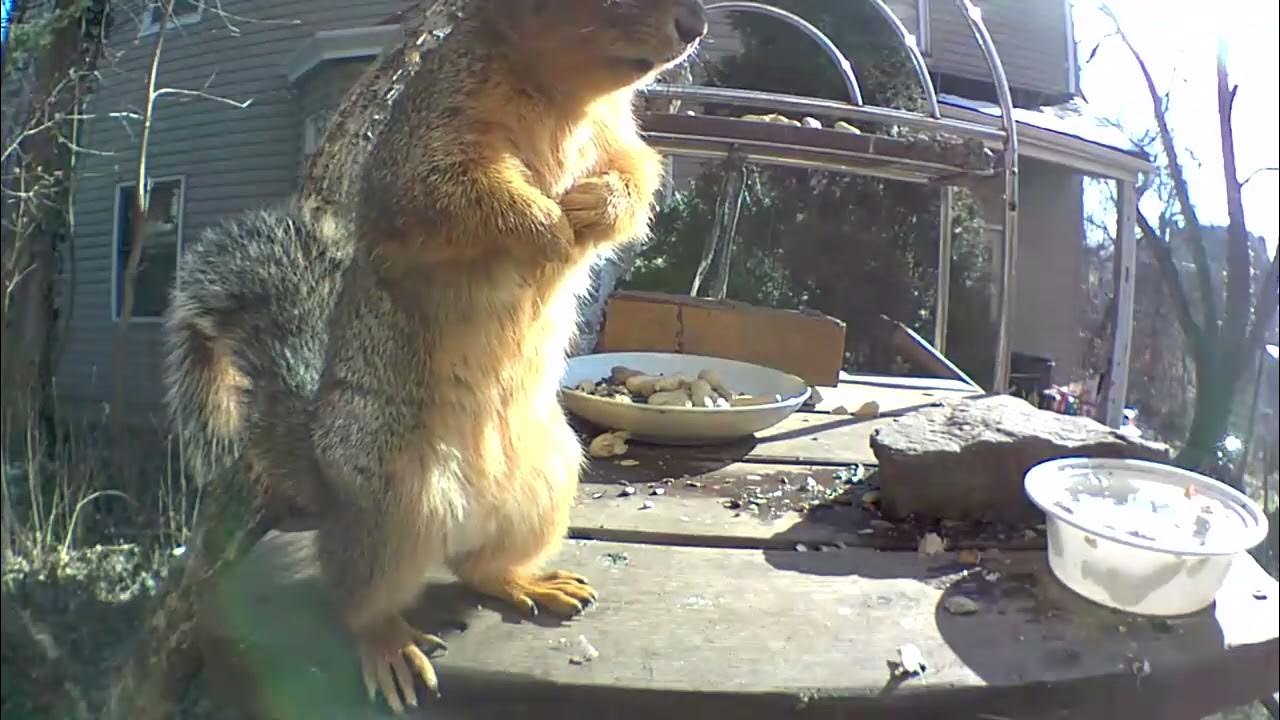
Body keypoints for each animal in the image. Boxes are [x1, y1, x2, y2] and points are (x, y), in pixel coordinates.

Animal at [163, 0, 707, 713]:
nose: (696, 26)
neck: (563, 97)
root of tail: (323, 477)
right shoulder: (424, 143)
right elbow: (458, 194)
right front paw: (547, 227)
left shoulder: (619, 138)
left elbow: (637, 175)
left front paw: (596, 204)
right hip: (393, 503)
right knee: (357, 599)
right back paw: (388, 644)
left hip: (547, 482)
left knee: (479, 570)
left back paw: (526, 582)